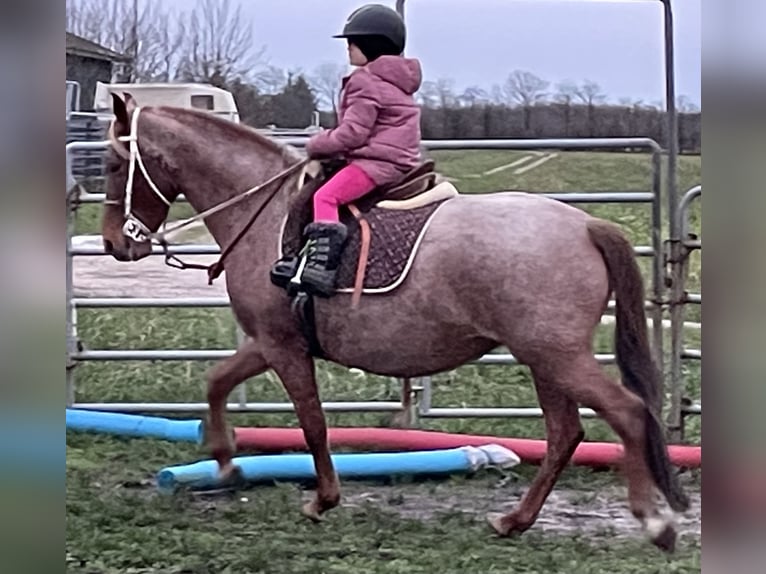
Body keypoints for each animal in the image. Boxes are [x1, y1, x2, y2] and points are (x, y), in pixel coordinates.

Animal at [99, 94, 692, 552]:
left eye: (110, 165)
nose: (113, 244)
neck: (266, 214)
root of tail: (586, 224)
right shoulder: (267, 343)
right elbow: (217, 381)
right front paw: (225, 462)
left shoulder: (282, 346)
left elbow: (312, 422)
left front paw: (322, 499)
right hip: (545, 360)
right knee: (566, 433)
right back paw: (514, 520)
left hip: (556, 356)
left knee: (626, 413)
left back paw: (655, 521)